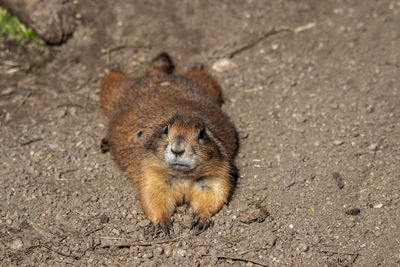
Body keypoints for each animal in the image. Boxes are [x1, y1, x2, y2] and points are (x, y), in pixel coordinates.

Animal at [99, 52, 238, 237]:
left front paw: (201, 219)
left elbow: (215, 191)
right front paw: (163, 223)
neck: (182, 176)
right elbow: (152, 195)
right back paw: (111, 67)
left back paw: (197, 64)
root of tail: (159, 75)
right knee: (111, 81)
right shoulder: (150, 171)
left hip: (208, 86)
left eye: (202, 134)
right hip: (116, 93)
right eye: (166, 130)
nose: (177, 149)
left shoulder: (217, 173)